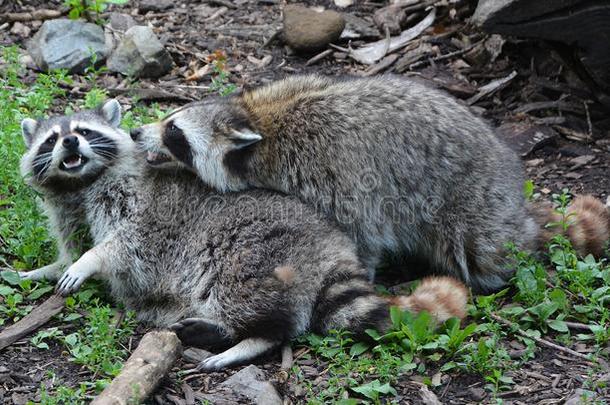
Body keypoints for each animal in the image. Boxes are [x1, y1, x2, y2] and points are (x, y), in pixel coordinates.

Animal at [17, 100, 466, 370]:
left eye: (84, 131)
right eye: (52, 138)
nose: (69, 141)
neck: (80, 186)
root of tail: (331, 247)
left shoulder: (144, 210)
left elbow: (126, 244)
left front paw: (89, 260)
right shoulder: (67, 212)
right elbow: (69, 246)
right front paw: (44, 268)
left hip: (257, 252)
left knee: (257, 305)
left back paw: (250, 338)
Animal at [133, 74, 608, 292]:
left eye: (174, 133)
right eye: (170, 120)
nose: (138, 133)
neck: (259, 123)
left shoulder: (331, 174)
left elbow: (360, 235)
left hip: (474, 203)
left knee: (483, 251)